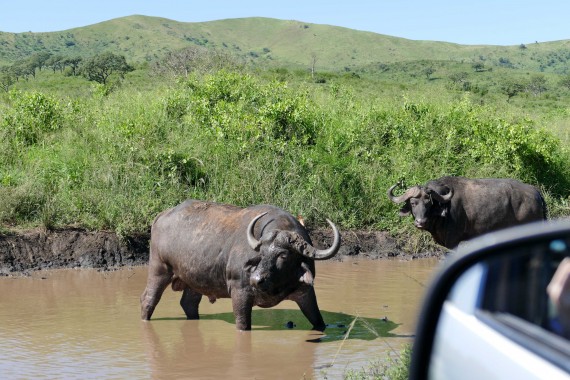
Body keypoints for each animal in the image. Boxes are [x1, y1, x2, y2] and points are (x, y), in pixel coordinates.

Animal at [140, 200, 340, 332]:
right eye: (261, 253)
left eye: (283, 255)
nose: (256, 279)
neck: (275, 284)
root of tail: (161, 216)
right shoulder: (239, 293)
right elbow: (243, 325)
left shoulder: (305, 293)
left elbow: (318, 320)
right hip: (159, 269)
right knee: (148, 299)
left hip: (194, 280)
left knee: (188, 303)